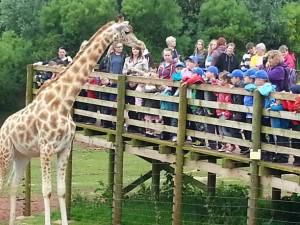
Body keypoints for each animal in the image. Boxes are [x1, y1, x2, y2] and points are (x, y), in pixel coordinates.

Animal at [0, 18, 145, 225]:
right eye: (127, 31)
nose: (141, 45)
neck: (64, 101)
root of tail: (3, 126)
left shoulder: (64, 148)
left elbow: (61, 191)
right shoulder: (46, 148)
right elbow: (47, 191)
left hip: (22, 156)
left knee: (13, 184)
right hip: (6, 152)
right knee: (2, 184)